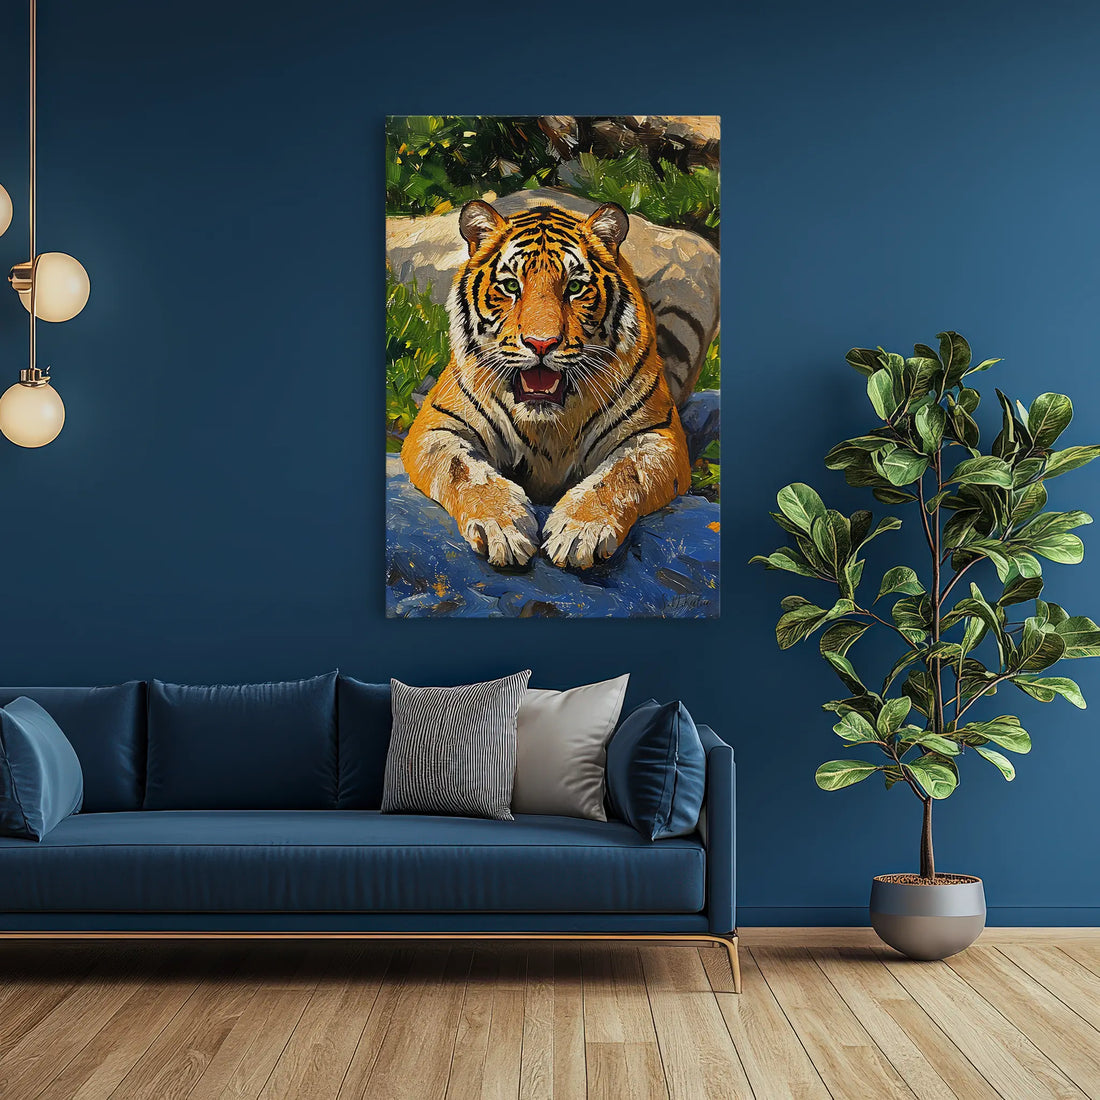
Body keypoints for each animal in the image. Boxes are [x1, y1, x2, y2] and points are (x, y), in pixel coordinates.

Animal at [400, 199, 693, 570]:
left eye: (574, 287)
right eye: (511, 286)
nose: (541, 344)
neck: (548, 426)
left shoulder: (656, 434)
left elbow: (621, 474)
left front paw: (580, 531)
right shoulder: (437, 427)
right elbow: (465, 471)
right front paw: (502, 527)